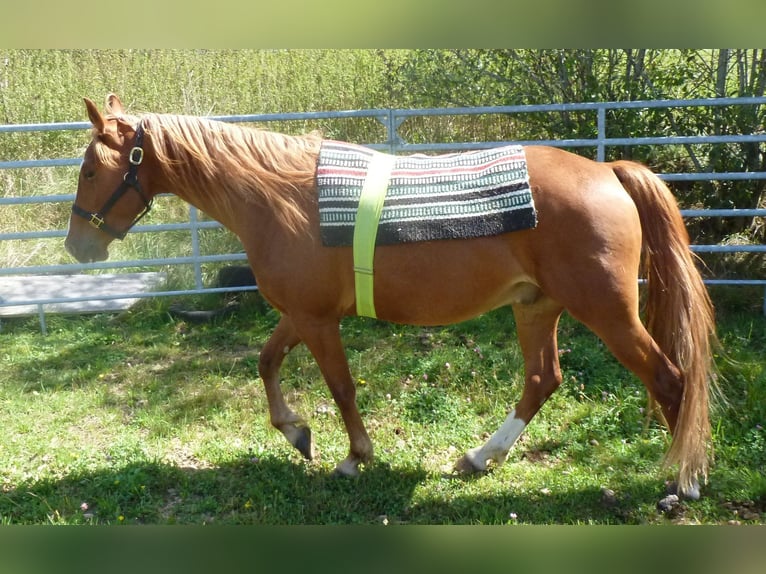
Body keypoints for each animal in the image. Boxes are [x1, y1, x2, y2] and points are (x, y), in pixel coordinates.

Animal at [65, 94, 717, 500]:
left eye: (91, 171)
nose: (77, 246)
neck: (280, 196)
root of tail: (610, 173)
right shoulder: (301, 314)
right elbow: (267, 362)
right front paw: (296, 432)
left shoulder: (316, 320)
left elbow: (341, 387)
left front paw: (354, 456)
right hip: (536, 307)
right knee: (543, 380)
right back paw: (479, 458)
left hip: (607, 312)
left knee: (670, 378)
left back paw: (682, 481)